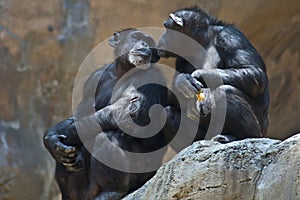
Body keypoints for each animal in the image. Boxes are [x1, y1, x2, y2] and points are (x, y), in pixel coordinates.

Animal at [44, 28, 169, 200]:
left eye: (150, 43)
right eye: (136, 37)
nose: (145, 44)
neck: (123, 71)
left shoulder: (153, 78)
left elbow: (132, 113)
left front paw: (66, 134)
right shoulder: (93, 79)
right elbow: (81, 113)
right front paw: (51, 139)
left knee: (108, 136)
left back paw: (113, 191)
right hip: (83, 191)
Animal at [159, 6, 270, 144]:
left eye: (166, 28)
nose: (161, 37)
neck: (202, 41)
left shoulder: (230, 37)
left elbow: (253, 72)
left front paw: (199, 80)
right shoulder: (180, 59)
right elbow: (173, 97)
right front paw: (181, 82)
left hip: (261, 130)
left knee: (224, 92)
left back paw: (239, 137)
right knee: (167, 113)